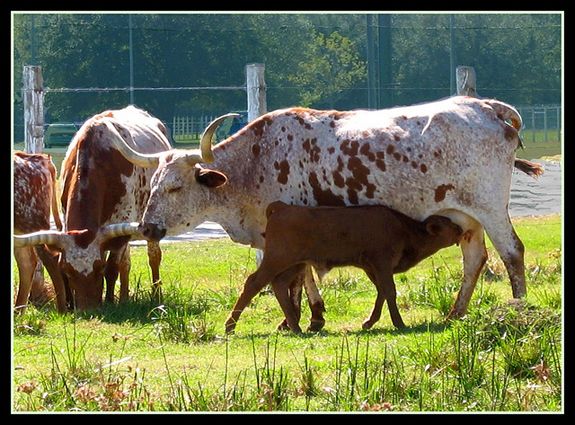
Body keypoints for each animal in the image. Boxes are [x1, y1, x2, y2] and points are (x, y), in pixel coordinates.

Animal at [225, 200, 464, 332]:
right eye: (450, 225)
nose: (461, 229)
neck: (406, 229)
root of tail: (283, 207)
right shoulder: (382, 263)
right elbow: (390, 291)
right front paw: (399, 323)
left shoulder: (373, 268)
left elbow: (381, 292)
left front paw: (369, 322)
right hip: (277, 259)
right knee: (254, 283)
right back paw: (230, 326)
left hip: (293, 263)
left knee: (280, 285)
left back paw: (295, 326)